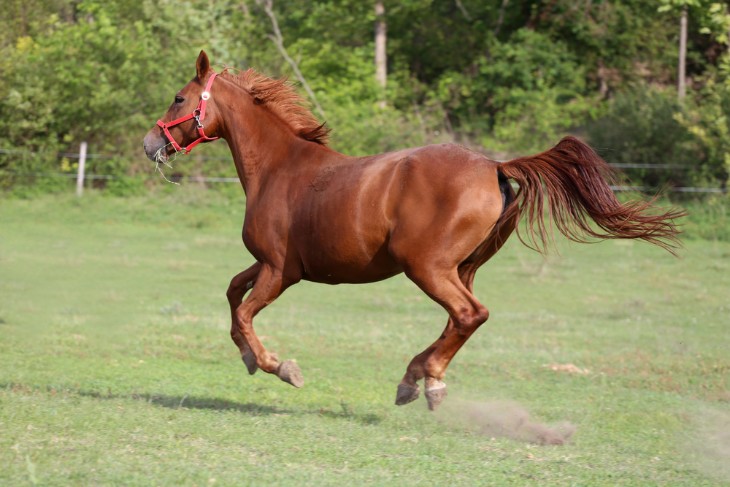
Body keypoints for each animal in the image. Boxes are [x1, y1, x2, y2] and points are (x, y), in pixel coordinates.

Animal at [142, 52, 684, 412]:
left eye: (179, 98)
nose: (150, 144)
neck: (280, 167)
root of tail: (494, 166)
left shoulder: (280, 271)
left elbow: (245, 311)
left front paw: (279, 367)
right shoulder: (271, 265)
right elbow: (232, 293)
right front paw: (250, 359)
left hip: (427, 267)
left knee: (469, 314)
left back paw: (424, 382)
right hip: (460, 268)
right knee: (460, 319)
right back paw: (420, 379)